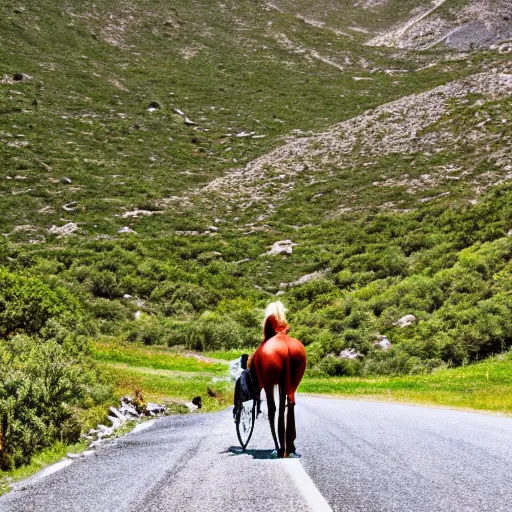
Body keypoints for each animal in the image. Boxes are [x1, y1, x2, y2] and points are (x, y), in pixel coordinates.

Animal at [250, 300, 306, 456]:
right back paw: (289, 446)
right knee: (289, 403)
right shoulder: (282, 382)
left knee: (273, 409)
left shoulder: (268, 383)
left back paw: (279, 447)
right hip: (293, 379)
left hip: (269, 383)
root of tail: (285, 347)